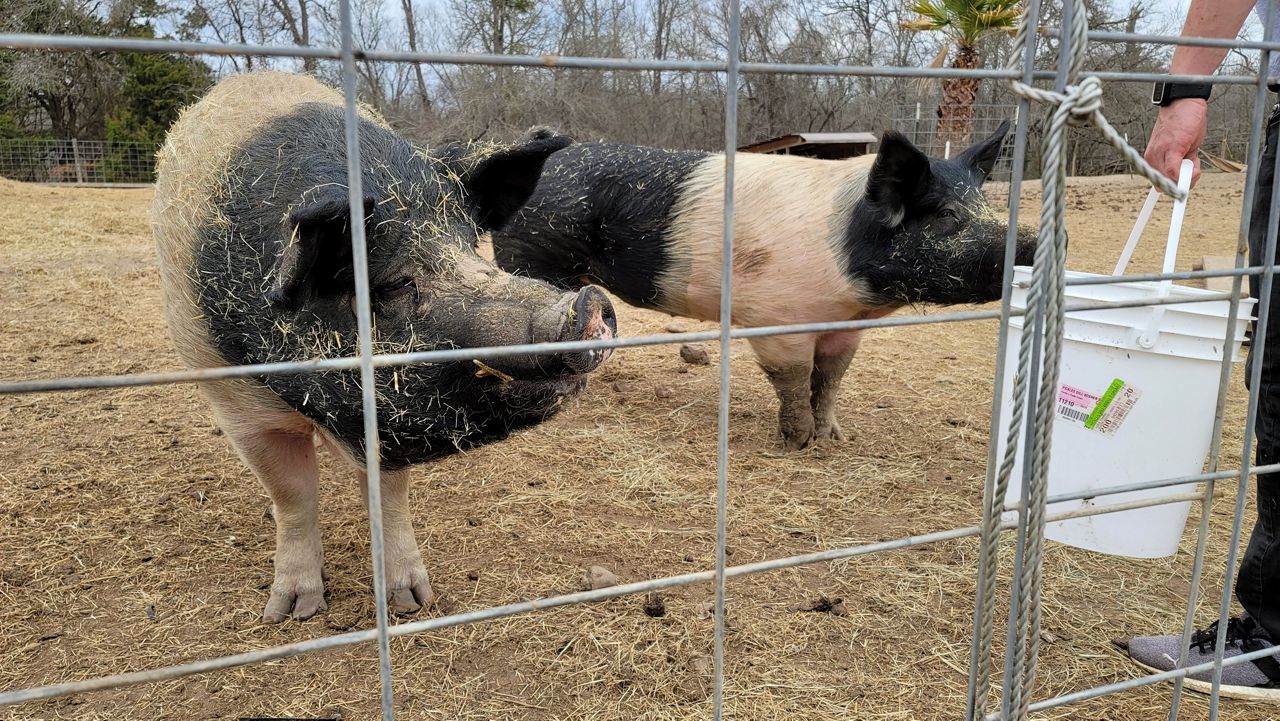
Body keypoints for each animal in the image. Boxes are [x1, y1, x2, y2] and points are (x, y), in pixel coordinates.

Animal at [152, 72, 616, 623]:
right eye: (393, 285)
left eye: (471, 247)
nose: (588, 304)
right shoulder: (236, 404)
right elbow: (293, 495)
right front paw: (293, 613)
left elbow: (388, 494)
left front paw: (413, 602)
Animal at [492, 123, 1035, 450]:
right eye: (947, 215)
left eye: (985, 206)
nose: (1031, 243)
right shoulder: (777, 316)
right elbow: (793, 378)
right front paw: (797, 443)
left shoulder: (846, 327)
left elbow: (831, 378)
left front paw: (833, 438)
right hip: (530, 257)